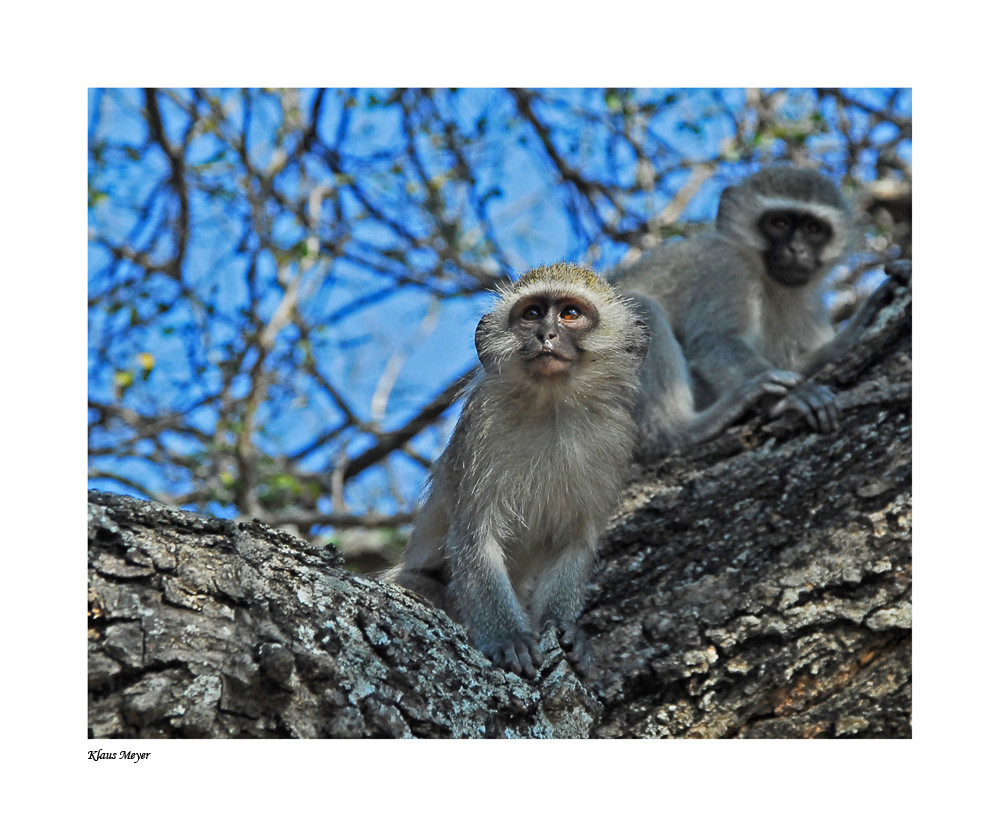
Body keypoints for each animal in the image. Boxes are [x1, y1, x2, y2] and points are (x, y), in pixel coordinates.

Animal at [386, 266, 652, 680]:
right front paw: (508, 637)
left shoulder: (616, 438)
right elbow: (475, 538)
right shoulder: (481, 425)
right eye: (532, 314)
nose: (546, 335)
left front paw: (566, 629)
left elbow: (576, 542)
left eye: (570, 314)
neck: (553, 407)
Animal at [608, 165, 908, 462]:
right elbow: (714, 342)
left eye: (814, 228)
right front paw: (794, 395)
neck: (770, 285)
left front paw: (863, 321)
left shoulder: (808, 303)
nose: (796, 249)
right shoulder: (727, 267)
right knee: (642, 308)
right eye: (779, 223)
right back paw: (674, 433)